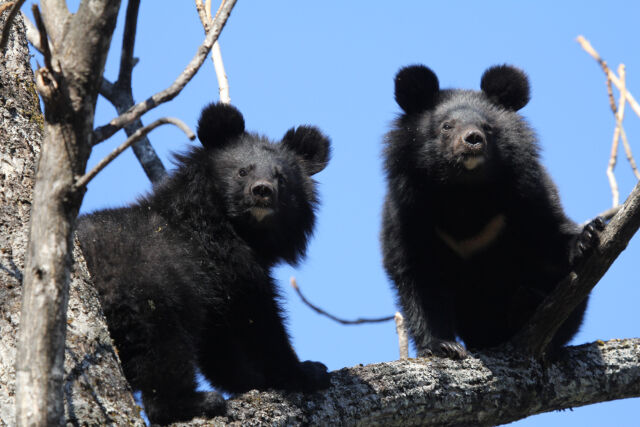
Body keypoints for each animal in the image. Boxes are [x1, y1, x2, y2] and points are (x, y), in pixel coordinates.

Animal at [76, 103, 332, 425]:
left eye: (281, 178)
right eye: (242, 171)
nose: (262, 190)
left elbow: (219, 344)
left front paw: (253, 380)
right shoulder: (229, 264)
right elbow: (257, 321)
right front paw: (307, 372)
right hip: (143, 293)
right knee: (163, 355)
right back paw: (197, 402)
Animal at [381, 64, 604, 359]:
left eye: (488, 127)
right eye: (447, 126)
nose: (473, 139)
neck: (465, 192)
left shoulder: (529, 194)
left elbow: (550, 233)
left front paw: (588, 235)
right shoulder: (407, 212)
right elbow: (419, 279)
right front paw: (443, 346)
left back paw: (526, 304)